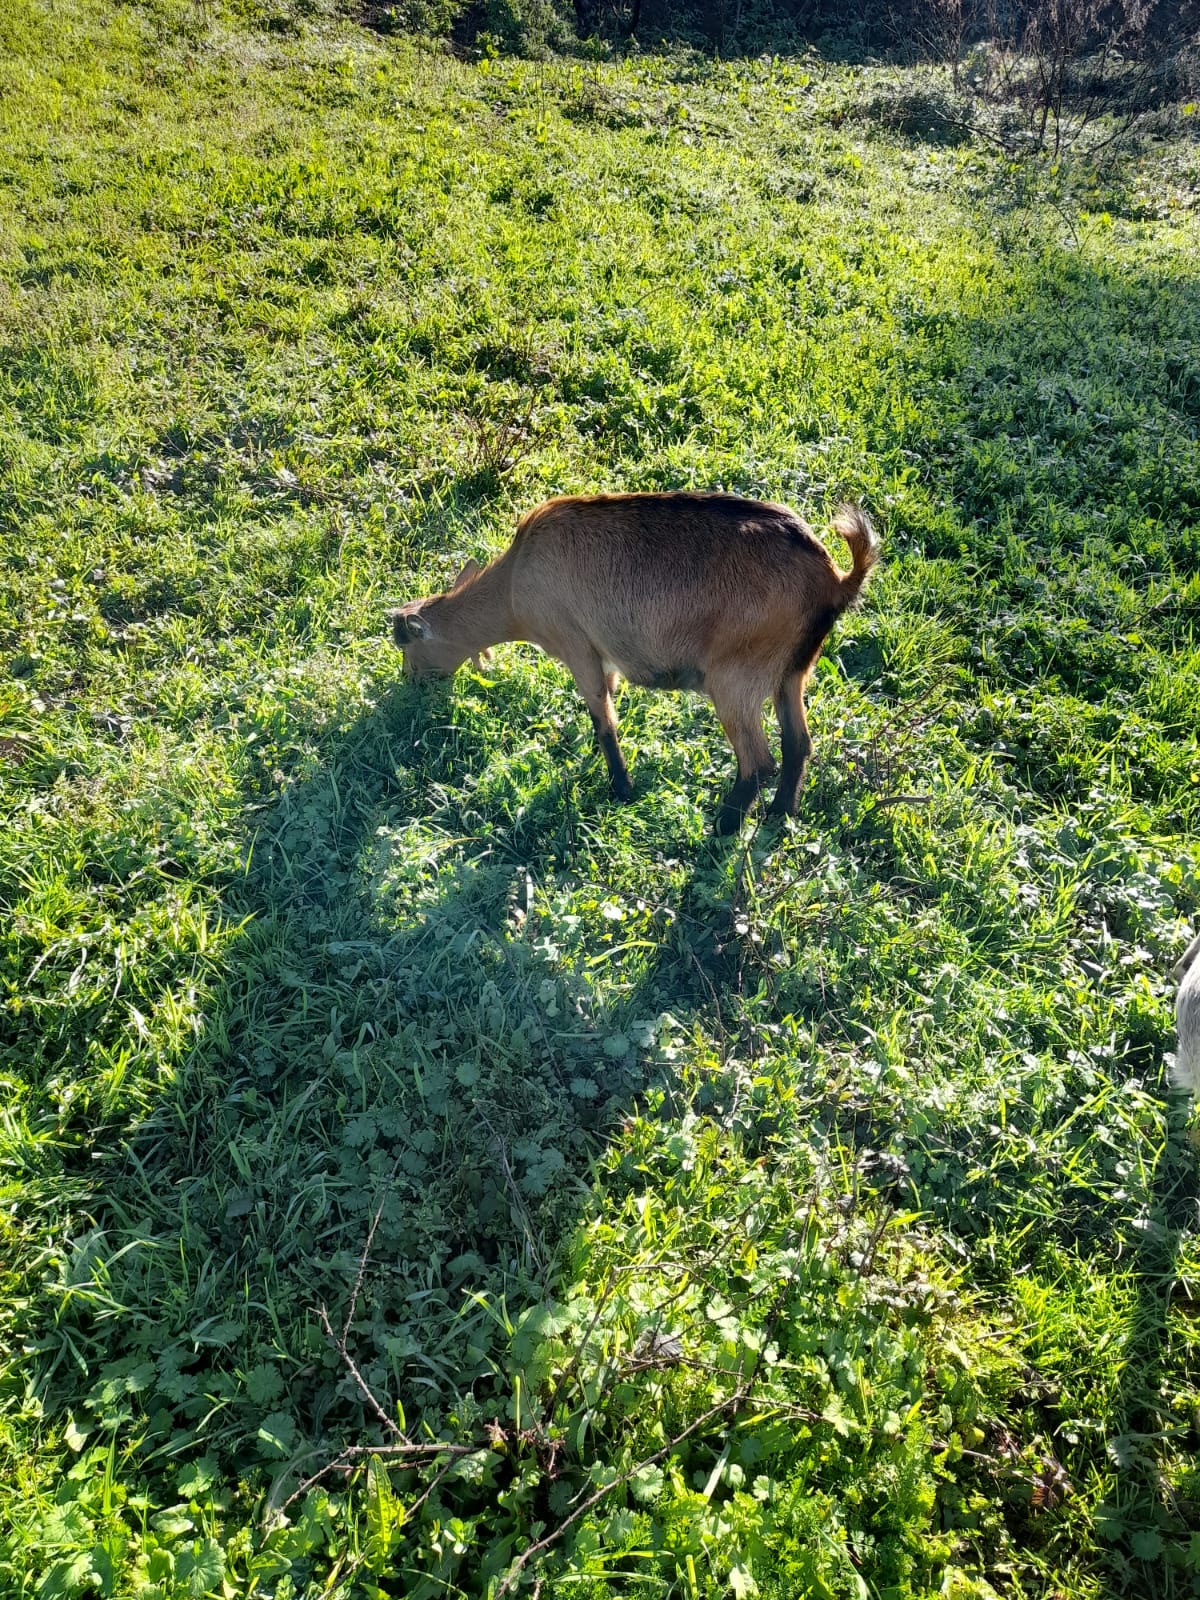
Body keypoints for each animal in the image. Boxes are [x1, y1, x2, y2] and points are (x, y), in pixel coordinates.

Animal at [390, 492, 876, 832]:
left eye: (408, 652)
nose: (411, 691)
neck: (513, 585)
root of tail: (836, 581)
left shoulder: (577, 644)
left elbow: (603, 720)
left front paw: (621, 789)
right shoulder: (604, 657)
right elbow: (607, 706)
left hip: (735, 679)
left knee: (758, 761)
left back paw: (722, 827)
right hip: (791, 673)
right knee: (798, 744)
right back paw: (779, 816)